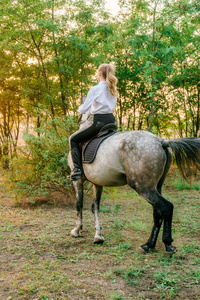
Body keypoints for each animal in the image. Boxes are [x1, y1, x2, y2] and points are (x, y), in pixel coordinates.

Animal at [67, 108, 200, 253]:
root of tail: (161, 141)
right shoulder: (98, 182)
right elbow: (95, 207)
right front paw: (98, 236)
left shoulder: (78, 181)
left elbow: (79, 204)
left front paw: (76, 230)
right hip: (155, 187)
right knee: (157, 212)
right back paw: (148, 245)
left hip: (143, 187)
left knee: (167, 208)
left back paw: (167, 244)